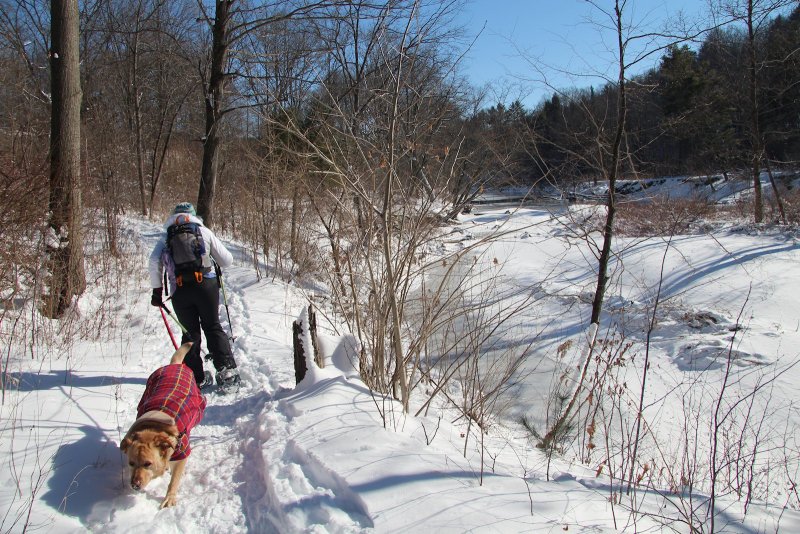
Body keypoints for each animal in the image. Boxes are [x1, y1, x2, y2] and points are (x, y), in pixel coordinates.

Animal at [120, 344, 206, 510]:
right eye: (131, 463)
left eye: (148, 463)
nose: (135, 485)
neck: (154, 426)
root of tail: (175, 364)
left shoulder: (182, 453)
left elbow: (174, 480)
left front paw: (169, 498)